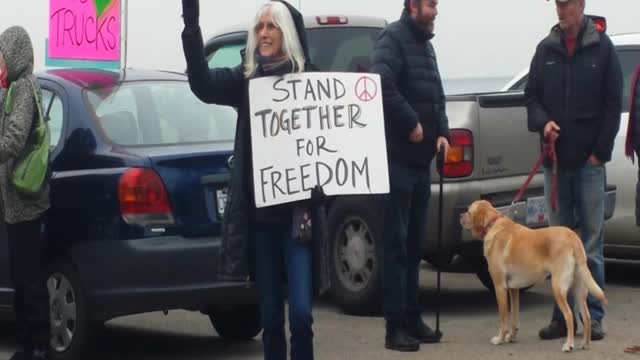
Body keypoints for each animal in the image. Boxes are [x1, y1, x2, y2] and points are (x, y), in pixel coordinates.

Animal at [460, 198, 604, 352]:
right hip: (578, 290)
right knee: (587, 317)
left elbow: (503, 318)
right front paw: (511, 337)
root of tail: (573, 238)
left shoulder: (499, 287)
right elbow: (514, 318)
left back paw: (568, 344)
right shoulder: (514, 290)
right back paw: (585, 344)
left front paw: (499, 339)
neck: (493, 224)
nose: (460, 216)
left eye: (469, 211)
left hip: (558, 287)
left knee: (570, 316)